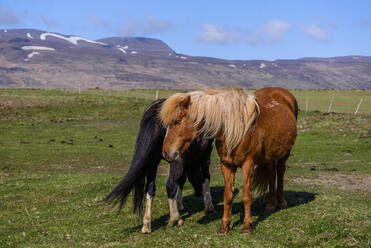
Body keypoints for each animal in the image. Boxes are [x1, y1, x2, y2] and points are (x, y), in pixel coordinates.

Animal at [161, 88, 300, 235]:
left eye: (177, 121)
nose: (165, 153)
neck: (236, 130)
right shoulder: (226, 165)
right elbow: (227, 196)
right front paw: (224, 226)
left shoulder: (248, 165)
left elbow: (246, 196)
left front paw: (247, 226)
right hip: (269, 156)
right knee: (272, 174)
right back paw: (271, 205)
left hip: (285, 153)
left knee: (280, 172)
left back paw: (282, 202)